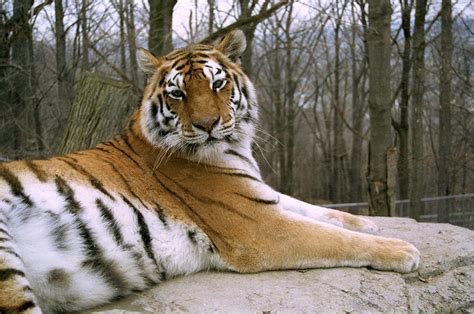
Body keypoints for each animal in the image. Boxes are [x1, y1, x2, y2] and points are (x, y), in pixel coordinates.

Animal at [0, 28, 418, 312]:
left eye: (217, 84)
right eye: (177, 93)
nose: (207, 124)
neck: (234, 149)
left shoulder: (259, 194)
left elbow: (314, 209)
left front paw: (365, 221)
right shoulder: (256, 225)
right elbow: (330, 237)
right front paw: (402, 249)